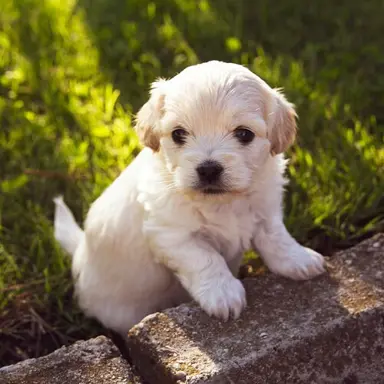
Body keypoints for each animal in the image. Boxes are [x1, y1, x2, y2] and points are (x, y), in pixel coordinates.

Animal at [53, 60, 324, 332]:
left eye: (244, 134)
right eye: (178, 134)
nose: (209, 169)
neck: (222, 203)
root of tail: (80, 252)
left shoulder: (265, 209)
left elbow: (276, 237)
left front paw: (298, 259)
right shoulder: (172, 235)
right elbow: (206, 258)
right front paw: (223, 294)